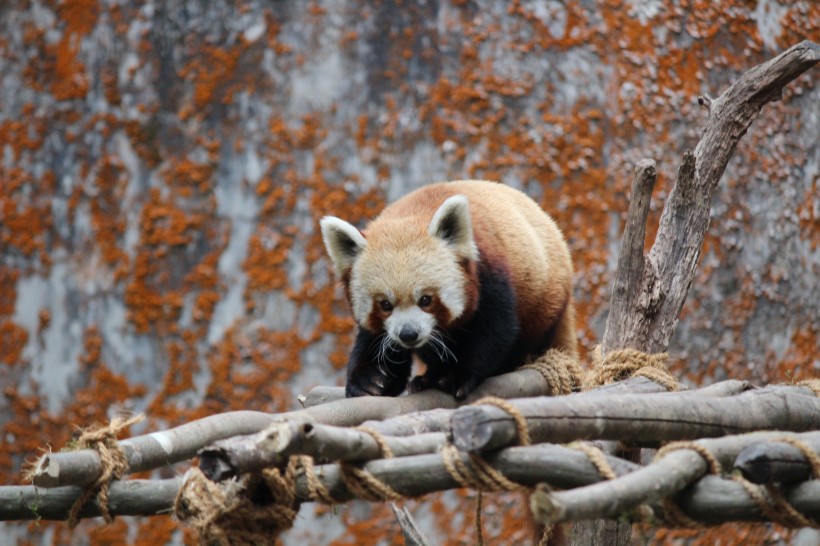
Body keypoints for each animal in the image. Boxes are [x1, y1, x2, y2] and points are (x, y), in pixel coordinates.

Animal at [320, 181, 576, 398]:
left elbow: (495, 331)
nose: (408, 334)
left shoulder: (490, 276)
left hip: (545, 303)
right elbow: (373, 341)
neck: (411, 212)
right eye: (385, 305)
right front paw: (370, 380)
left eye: (426, 299)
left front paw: (455, 376)